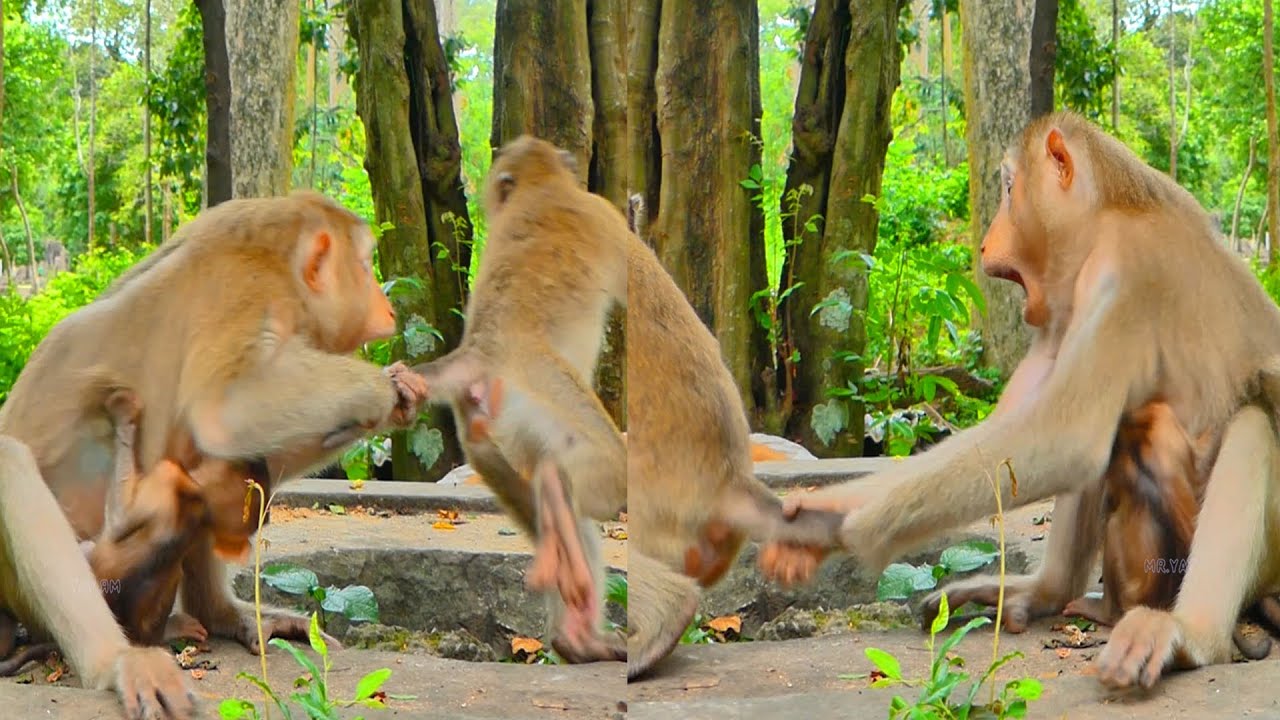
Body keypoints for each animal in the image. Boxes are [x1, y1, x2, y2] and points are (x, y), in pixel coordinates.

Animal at [0, 191, 428, 719]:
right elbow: (224, 412)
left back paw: (219, 614)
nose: (387, 309)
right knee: (12, 462)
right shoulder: (250, 293)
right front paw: (383, 391)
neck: (278, 260)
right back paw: (118, 659)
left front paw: (402, 392)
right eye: (367, 266)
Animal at [410, 135, 629, 665]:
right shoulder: (601, 214)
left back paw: (575, 636)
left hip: (491, 447)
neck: (543, 184)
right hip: (542, 406)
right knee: (597, 469)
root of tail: (482, 352)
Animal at [756, 110, 1280, 690]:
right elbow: (1023, 431)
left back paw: (1192, 634)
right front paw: (819, 511)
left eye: (1008, 188)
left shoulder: (1123, 274)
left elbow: (1065, 436)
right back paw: (1053, 592)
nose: (986, 244)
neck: (1108, 214)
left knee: (1250, 424)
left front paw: (844, 531)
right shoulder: (1064, 305)